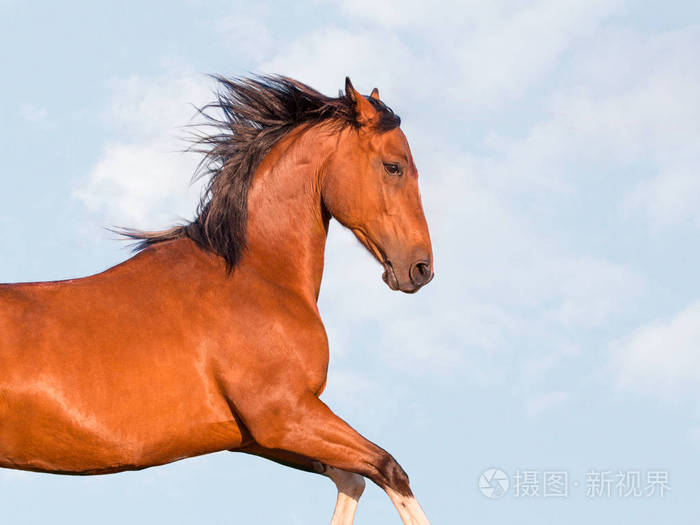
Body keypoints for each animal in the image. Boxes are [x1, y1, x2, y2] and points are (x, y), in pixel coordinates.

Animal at [0, 75, 434, 524]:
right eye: (394, 166)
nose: (421, 268)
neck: (255, 276)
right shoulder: (286, 415)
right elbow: (389, 469)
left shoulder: (257, 437)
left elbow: (355, 479)